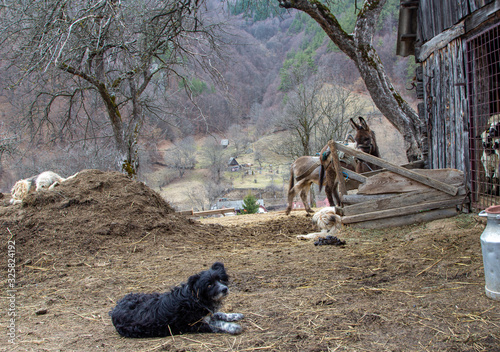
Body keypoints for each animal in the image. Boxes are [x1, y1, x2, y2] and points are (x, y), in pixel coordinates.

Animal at [109, 262, 244, 338]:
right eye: (209, 285)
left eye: (220, 280)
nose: (225, 289)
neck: (195, 298)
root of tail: (115, 309)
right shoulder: (193, 325)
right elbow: (217, 324)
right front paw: (233, 327)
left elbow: (219, 314)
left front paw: (235, 315)